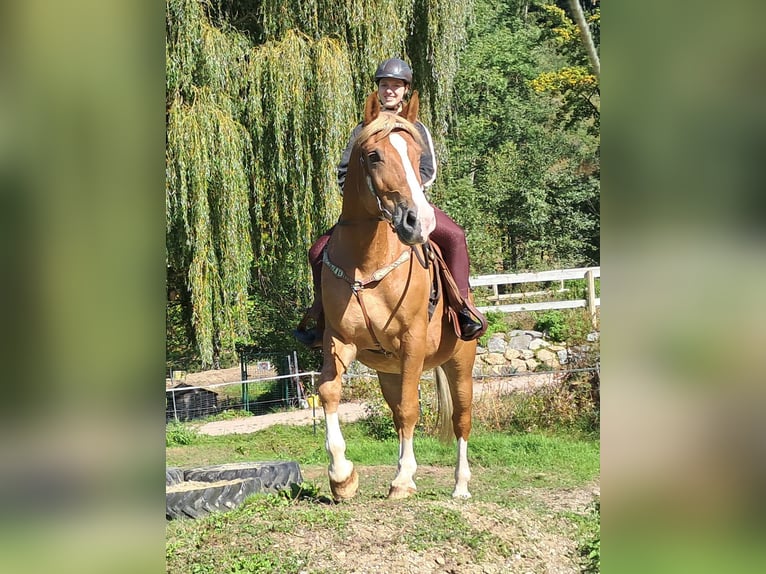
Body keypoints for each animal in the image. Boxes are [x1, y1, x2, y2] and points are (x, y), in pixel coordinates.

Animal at [316, 91, 476, 504]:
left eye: (419, 154)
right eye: (373, 155)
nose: (418, 222)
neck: (366, 262)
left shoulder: (413, 342)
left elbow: (409, 410)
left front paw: (403, 479)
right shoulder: (338, 341)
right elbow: (329, 392)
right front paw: (341, 476)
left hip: (460, 365)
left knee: (462, 419)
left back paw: (461, 486)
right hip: (388, 371)